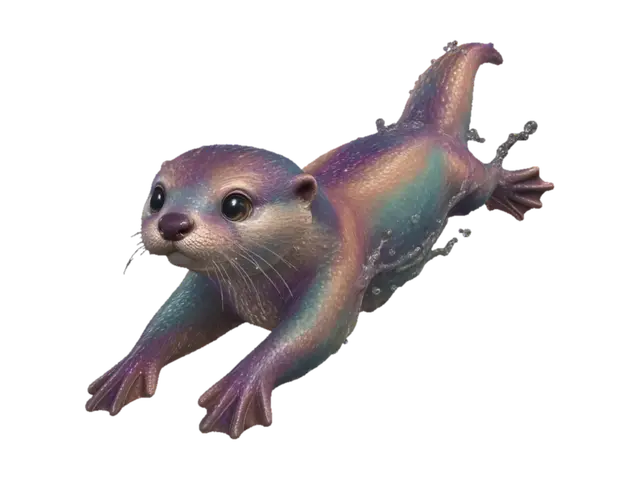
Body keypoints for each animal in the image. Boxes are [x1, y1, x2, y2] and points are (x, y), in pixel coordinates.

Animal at [82, 40, 555, 439]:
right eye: (158, 196)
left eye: (235, 204)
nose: (173, 223)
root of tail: (423, 129)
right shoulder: (213, 284)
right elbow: (172, 318)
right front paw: (123, 373)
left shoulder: (340, 269)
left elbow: (312, 332)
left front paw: (239, 388)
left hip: (464, 179)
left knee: (483, 181)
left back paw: (516, 188)